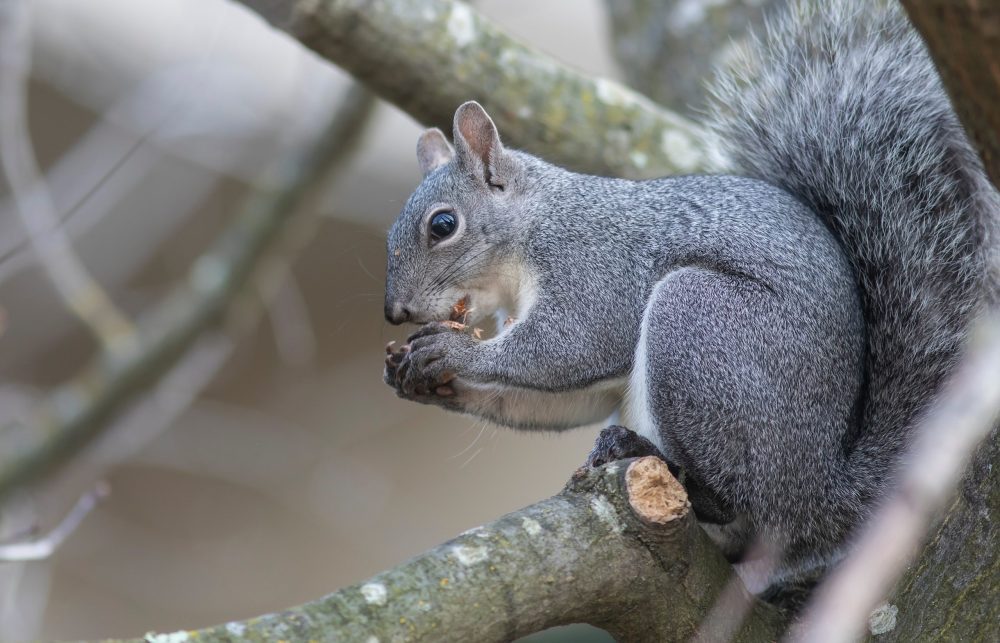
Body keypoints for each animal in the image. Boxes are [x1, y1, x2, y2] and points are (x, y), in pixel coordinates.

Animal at [382, 0, 999, 602]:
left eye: (443, 225)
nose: (395, 312)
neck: (535, 224)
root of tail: (819, 489)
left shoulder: (592, 267)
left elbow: (570, 347)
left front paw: (453, 356)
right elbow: (567, 397)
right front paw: (423, 380)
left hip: (701, 327)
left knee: (735, 499)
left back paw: (656, 462)